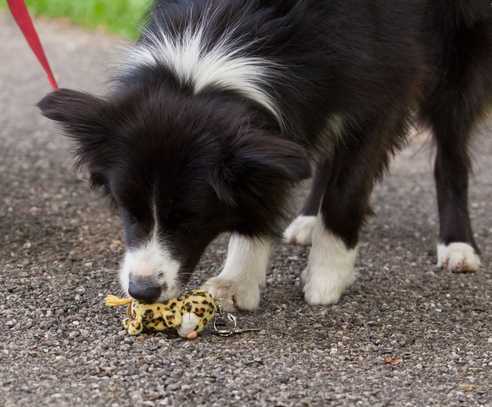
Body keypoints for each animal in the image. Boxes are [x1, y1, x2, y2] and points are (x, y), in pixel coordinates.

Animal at [38, 1, 492, 310]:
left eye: (190, 217)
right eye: (125, 207)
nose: (143, 291)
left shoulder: (384, 87)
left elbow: (347, 190)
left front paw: (327, 275)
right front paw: (238, 280)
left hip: (458, 42)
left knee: (451, 150)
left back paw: (457, 245)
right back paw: (307, 220)